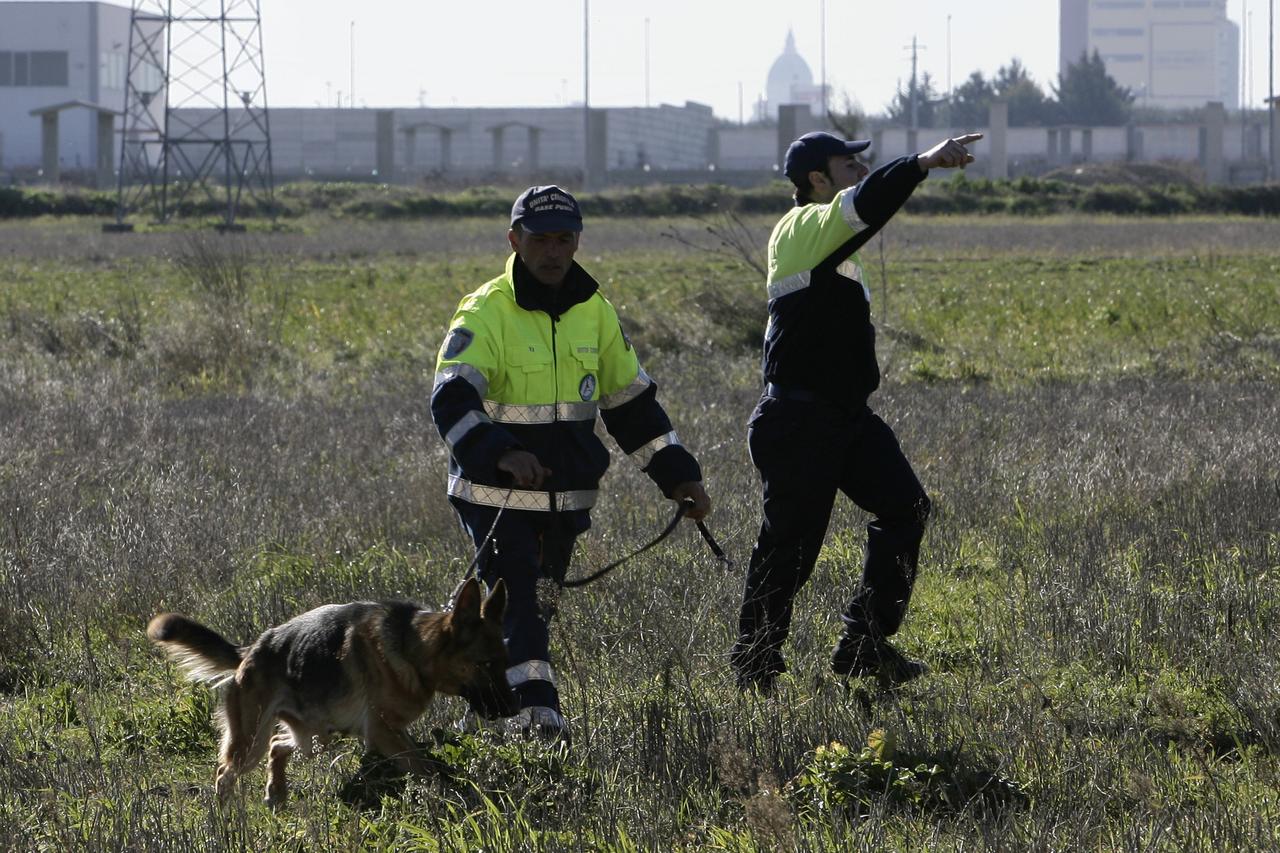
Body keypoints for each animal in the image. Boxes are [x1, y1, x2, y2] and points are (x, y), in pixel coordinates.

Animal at [146, 571, 514, 804]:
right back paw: (226, 820)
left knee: (278, 745)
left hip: (318, 734)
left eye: (504, 662)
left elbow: (428, 764)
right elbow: (426, 769)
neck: (413, 648)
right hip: (252, 742)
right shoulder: (383, 732)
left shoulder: (392, 731)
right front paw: (453, 799)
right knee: (226, 772)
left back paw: (276, 793)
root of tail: (251, 650)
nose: (511, 709)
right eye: (484, 664)